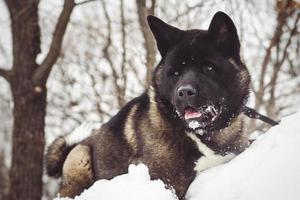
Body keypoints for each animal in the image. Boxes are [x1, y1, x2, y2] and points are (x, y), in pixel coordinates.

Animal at [45, 11, 251, 199]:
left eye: (208, 67)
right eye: (175, 73)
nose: (184, 92)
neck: (202, 134)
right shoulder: (163, 182)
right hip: (80, 162)